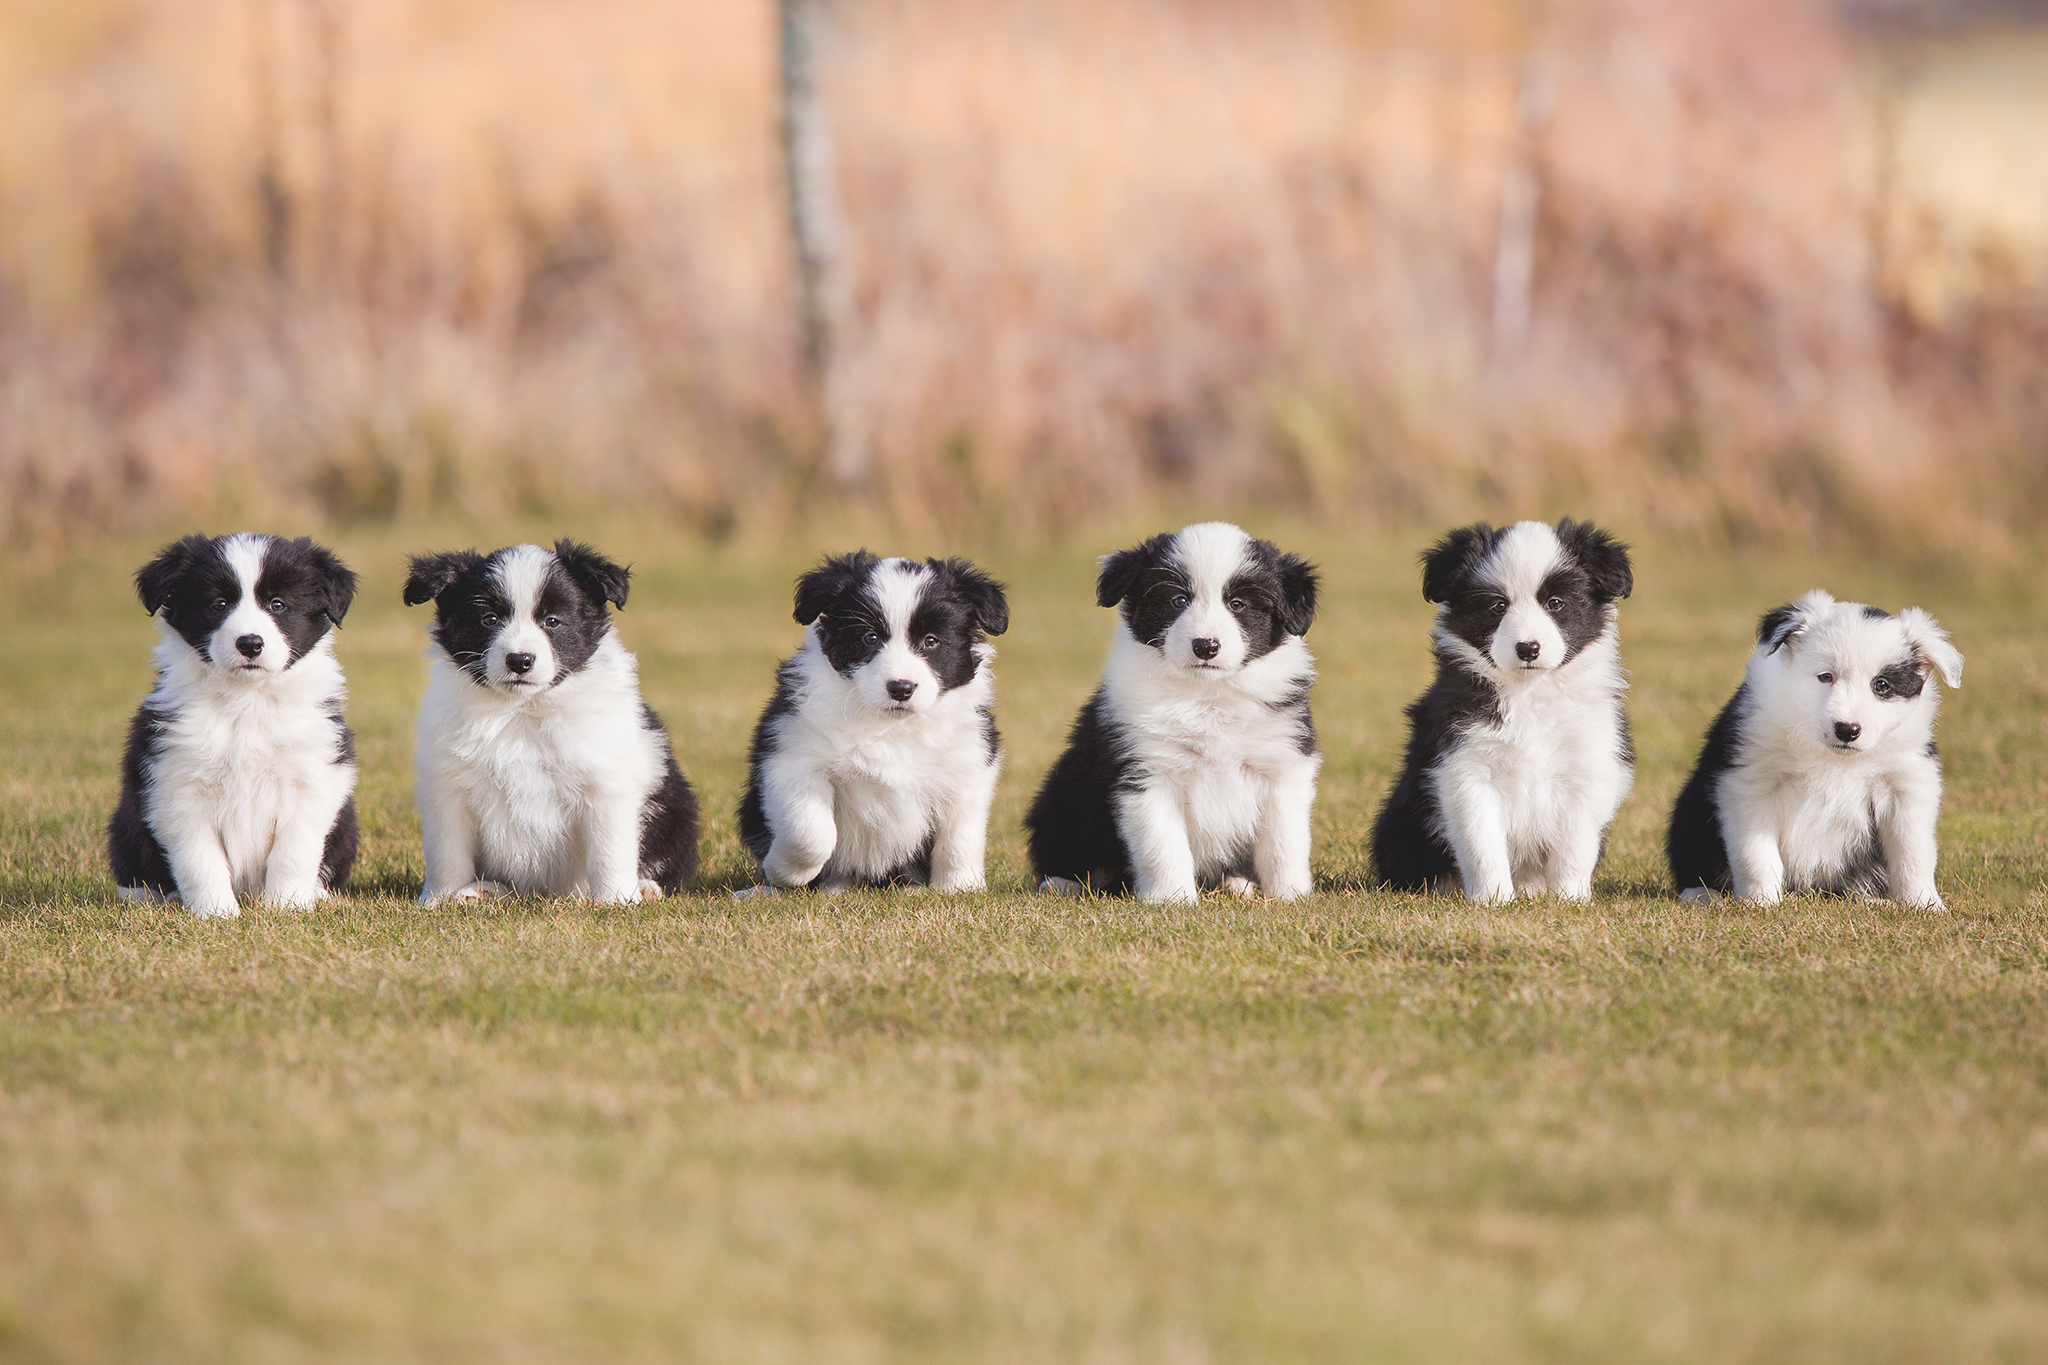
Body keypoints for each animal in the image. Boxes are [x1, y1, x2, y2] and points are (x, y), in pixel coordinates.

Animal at [110, 532, 364, 916]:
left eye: (278, 604)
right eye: (218, 604)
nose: (250, 643)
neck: (248, 700)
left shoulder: (311, 779)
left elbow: (294, 851)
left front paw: (287, 907)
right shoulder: (177, 786)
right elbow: (200, 860)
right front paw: (216, 914)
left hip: (345, 827)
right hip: (127, 826)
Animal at [741, 548, 1011, 892]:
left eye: (931, 641)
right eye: (870, 638)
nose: (901, 688)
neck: (889, 725)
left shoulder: (969, 765)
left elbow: (960, 836)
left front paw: (959, 888)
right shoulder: (793, 757)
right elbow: (812, 833)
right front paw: (784, 872)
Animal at [1368, 517, 1638, 900]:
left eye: (1556, 603)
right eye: (1497, 606)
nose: (1527, 648)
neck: (1528, 693)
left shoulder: (1586, 764)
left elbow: (1575, 846)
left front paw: (1570, 899)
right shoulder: (1465, 768)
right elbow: (1482, 843)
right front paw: (1493, 900)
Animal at [1662, 589, 1966, 908]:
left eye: (1881, 685)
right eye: (1825, 676)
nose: (1847, 730)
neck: (1833, 757)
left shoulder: (1906, 785)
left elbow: (1913, 852)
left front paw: (1924, 904)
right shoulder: (1750, 781)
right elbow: (1755, 853)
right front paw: (1761, 901)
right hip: (1691, 810)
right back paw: (1703, 894)